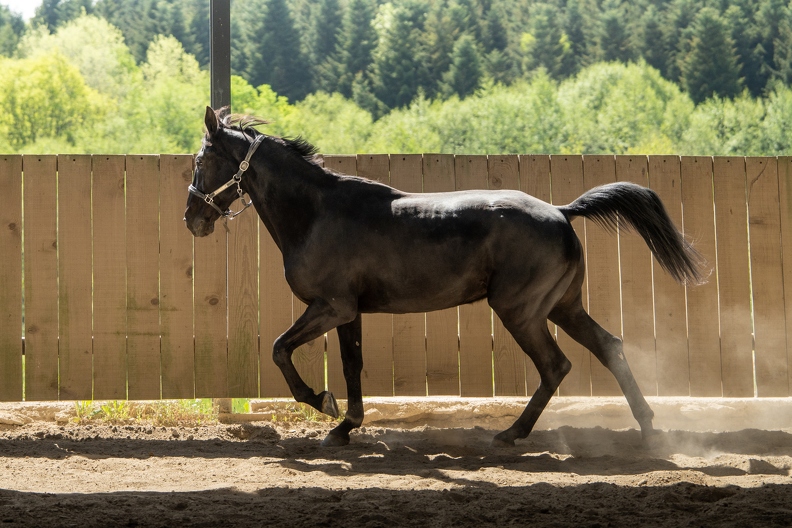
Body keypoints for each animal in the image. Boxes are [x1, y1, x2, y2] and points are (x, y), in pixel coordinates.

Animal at [184, 106, 704, 448]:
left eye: (201, 160)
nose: (192, 218)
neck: (317, 213)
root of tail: (561, 211)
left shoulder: (330, 307)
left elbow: (279, 348)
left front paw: (322, 401)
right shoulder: (348, 311)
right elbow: (352, 367)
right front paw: (345, 426)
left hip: (521, 311)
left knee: (556, 366)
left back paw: (512, 434)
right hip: (562, 306)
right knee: (609, 347)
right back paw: (649, 428)